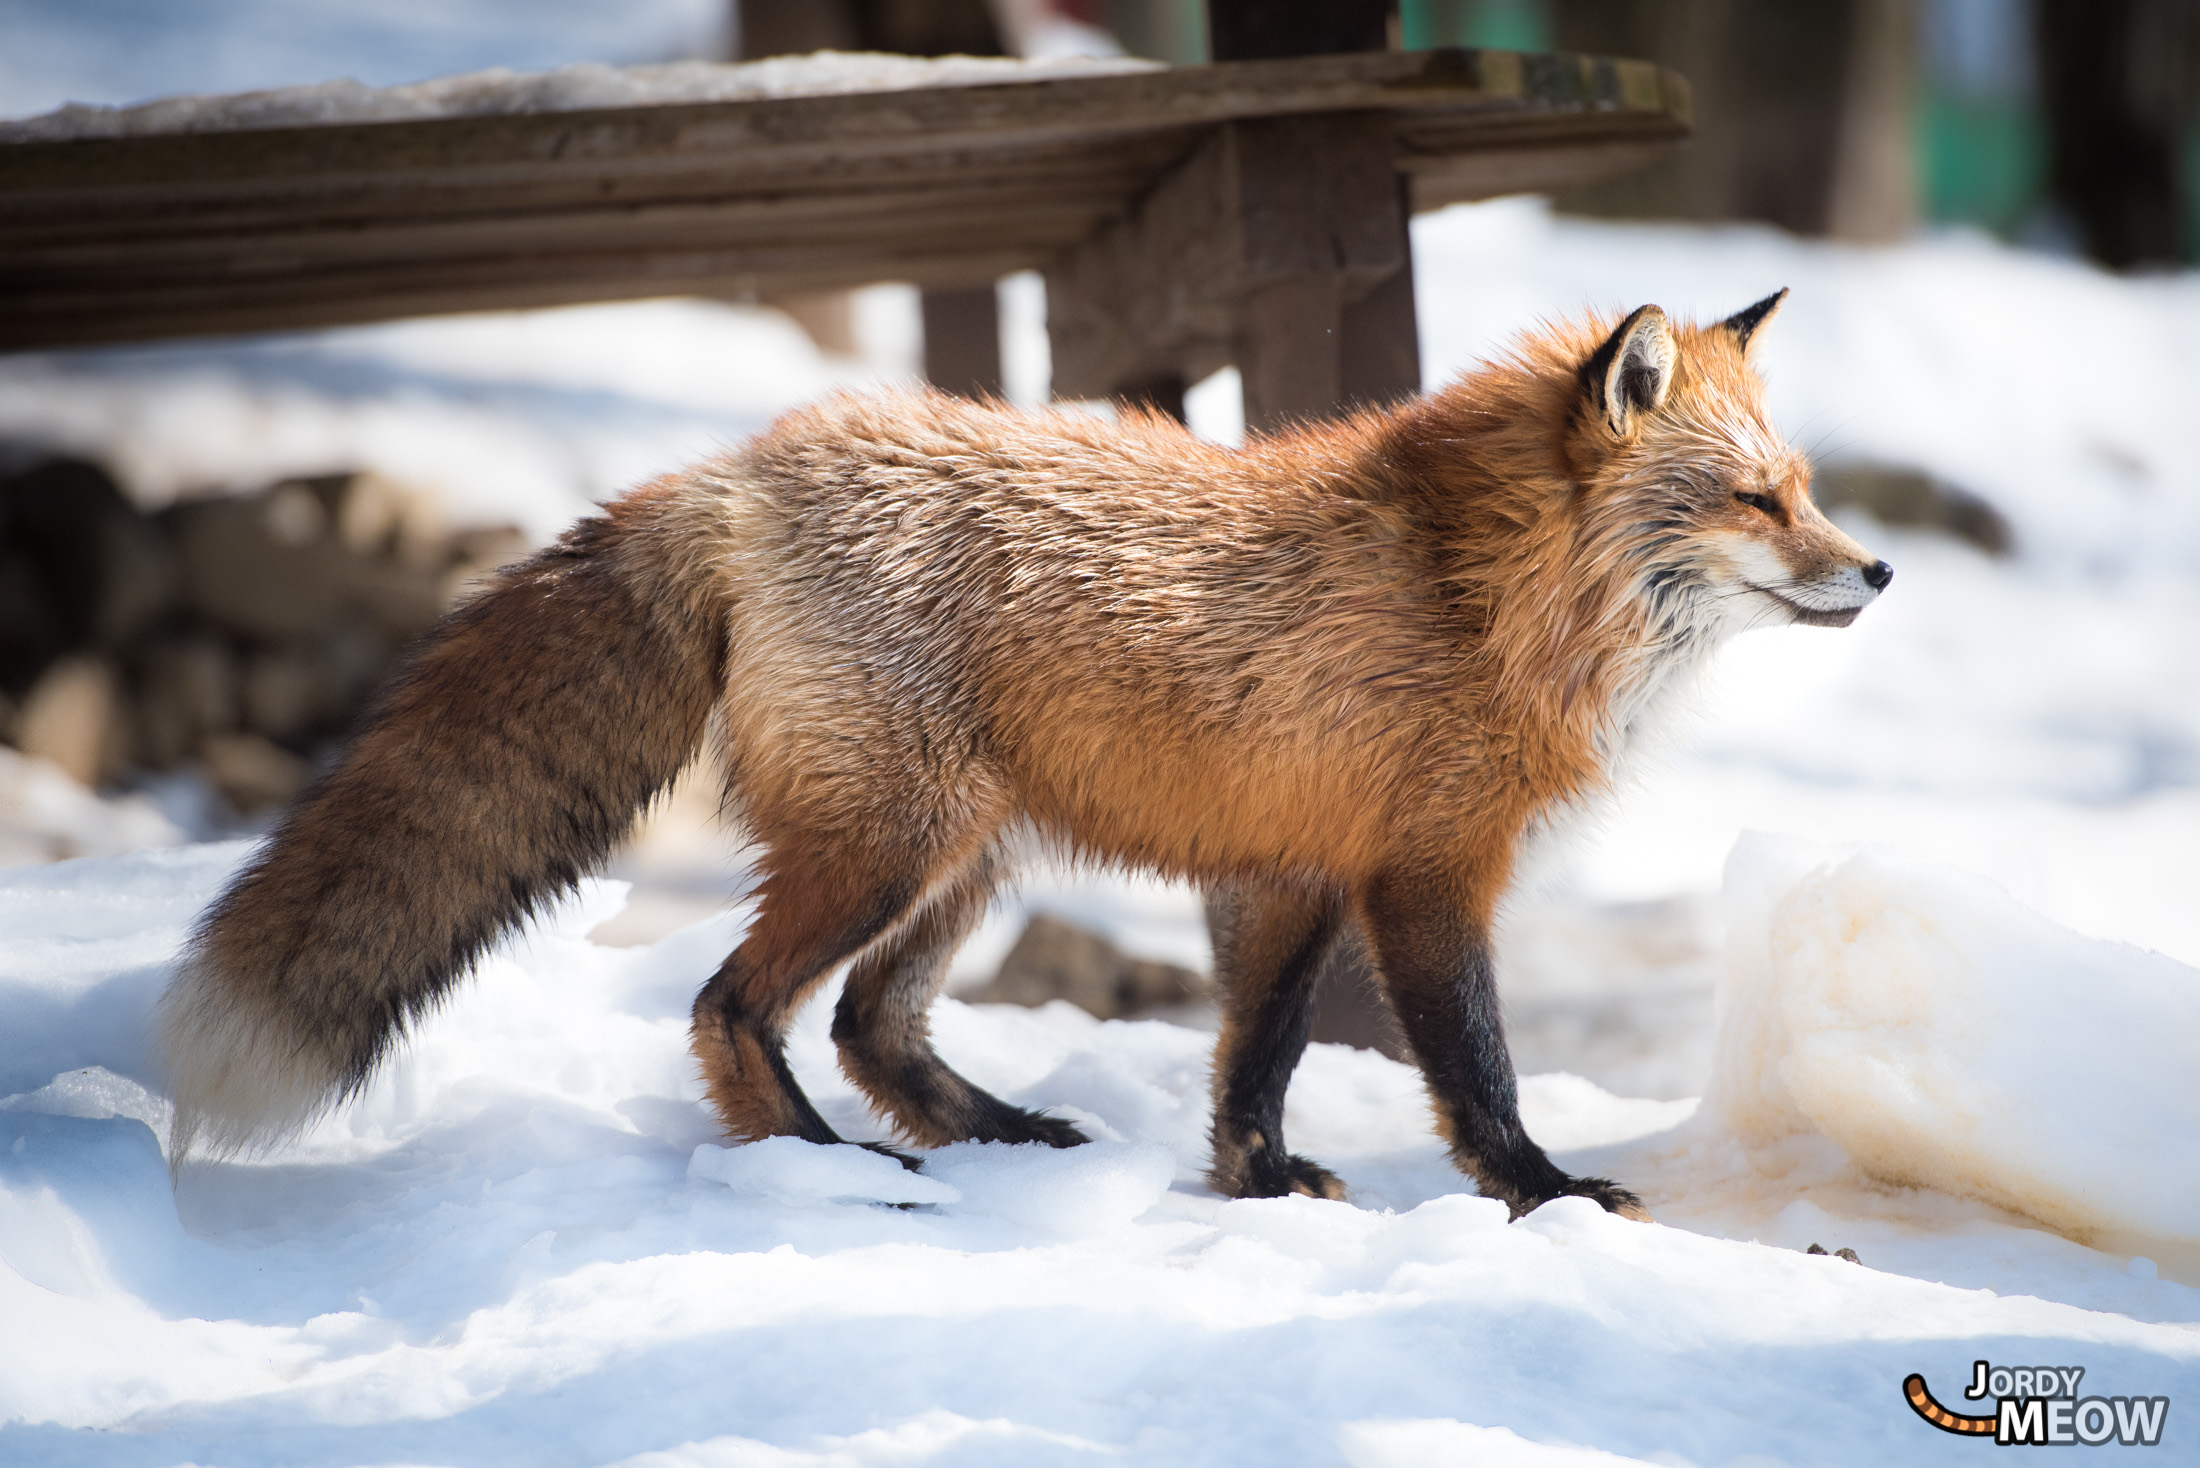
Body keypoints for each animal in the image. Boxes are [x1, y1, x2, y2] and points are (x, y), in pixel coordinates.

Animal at [162, 292, 1892, 1223]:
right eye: (1756, 501)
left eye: (1806, 489)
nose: (1879, 575)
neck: (1475, 589)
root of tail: (744, 467)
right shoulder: (1425, 871)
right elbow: (1475, 1064)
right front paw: (1542, 1194)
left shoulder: (1291, 862)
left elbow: (1254, 1058)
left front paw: (1257, 1187)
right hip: (892, 844)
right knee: (733, 1004)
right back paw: (828, 1172)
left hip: (966, 861)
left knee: (867, 1022)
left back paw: (998, 1137)